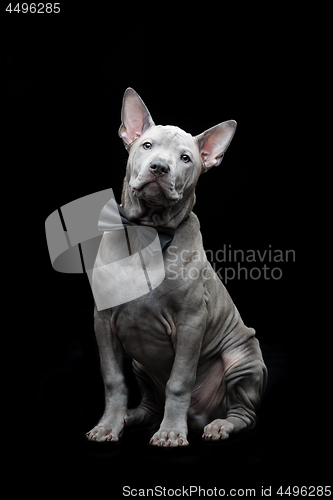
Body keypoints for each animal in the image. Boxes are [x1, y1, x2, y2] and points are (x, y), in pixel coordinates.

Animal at [86, 88, 268, 448]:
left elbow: (179, 381)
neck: (148, 231)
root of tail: (201, 415)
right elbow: (113, 380)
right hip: (141, 364)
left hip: (243, 357)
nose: (159, 167)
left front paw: (171, 432)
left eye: (186, 158)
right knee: (149, 403)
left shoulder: (190, 322)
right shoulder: (103, 322)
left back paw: (220, 425)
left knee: (245, 414)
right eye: (146, 146)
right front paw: (108, 425)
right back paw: (131, 416)